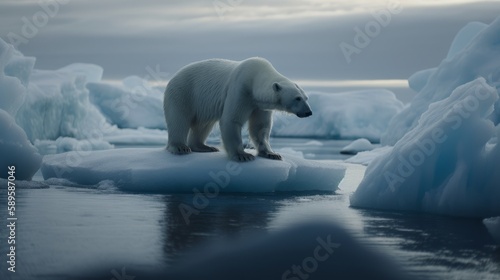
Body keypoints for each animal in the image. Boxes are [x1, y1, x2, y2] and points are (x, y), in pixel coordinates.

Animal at [166, 57, 310, 162]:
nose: (309, 112)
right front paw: (243, 155)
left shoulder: (260, 105)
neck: (255, 78)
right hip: (183, 93)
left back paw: (204, 147)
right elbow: (231, 120)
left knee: (203, 124)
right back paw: (180, 147)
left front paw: (272, 154)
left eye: (306, 97)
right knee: (178, 119)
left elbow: (260, 126)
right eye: (297, 98)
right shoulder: (240, 90)